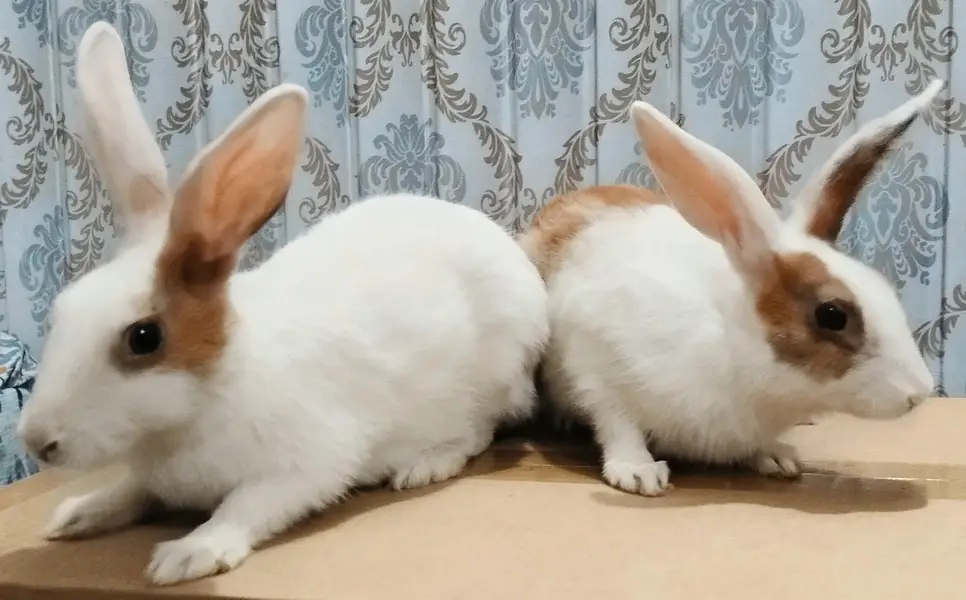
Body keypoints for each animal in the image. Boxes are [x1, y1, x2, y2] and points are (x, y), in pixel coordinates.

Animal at [17, 22, 548, 586]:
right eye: (61, 309)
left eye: (144, 337)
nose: (35, 440)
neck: (209, 388)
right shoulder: (151, 480)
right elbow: (130, 490)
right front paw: (76, 513)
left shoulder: (307, 462)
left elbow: (248, 505)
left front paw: (188, 554)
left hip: (497, 370)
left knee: (481, 428)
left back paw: (425, 465)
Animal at [517, 80, 943, 497]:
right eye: (832, 315)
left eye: (885, 288)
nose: (919, 392)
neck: (730, 340)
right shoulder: (596, 366)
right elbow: (618, 425)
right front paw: (639, 474)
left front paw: (777, 458)